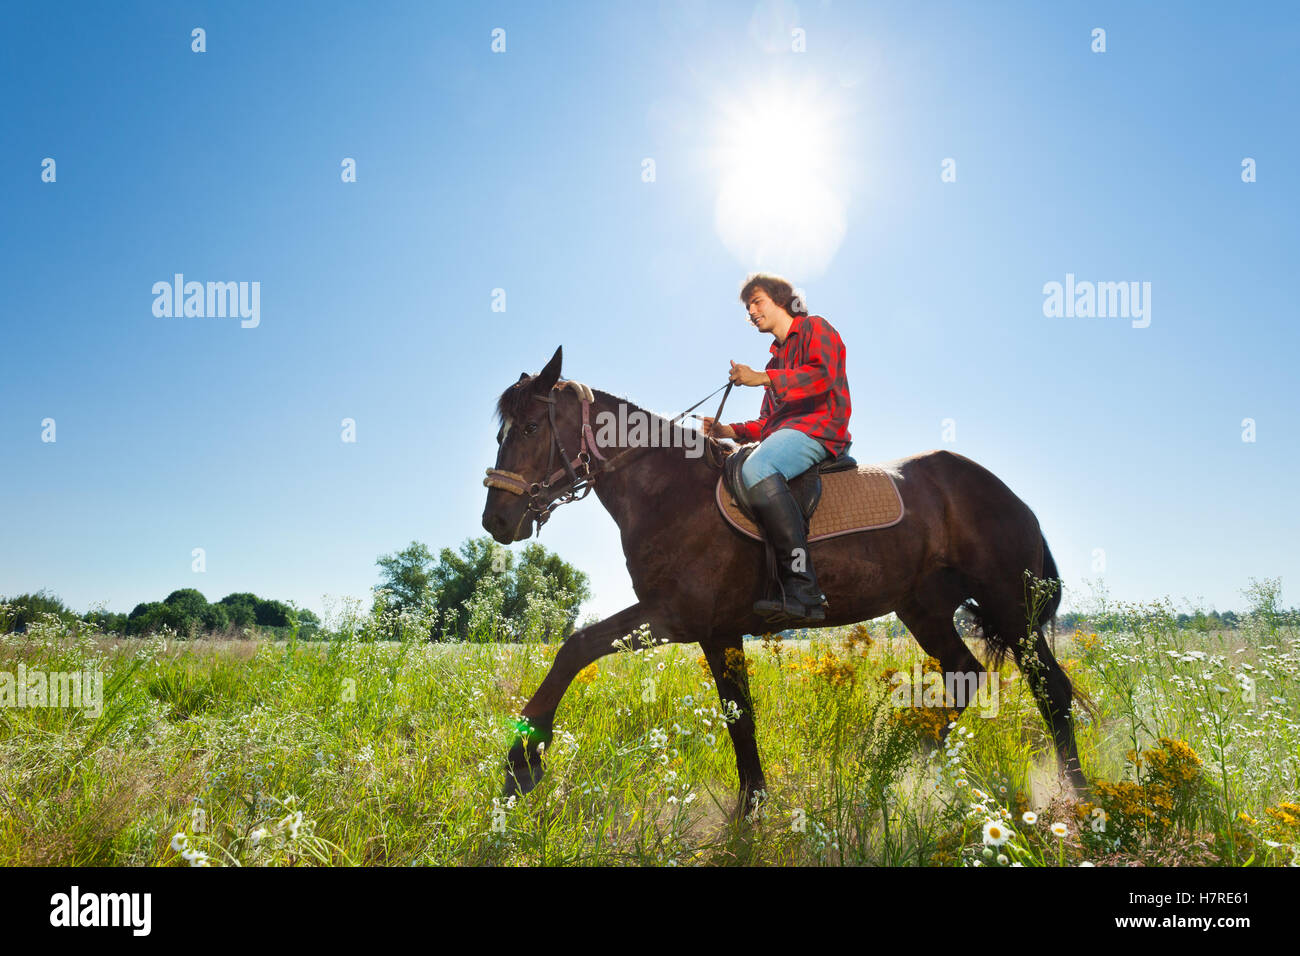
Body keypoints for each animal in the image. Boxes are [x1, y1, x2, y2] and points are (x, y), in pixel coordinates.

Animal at [482, 346, 1089, 820]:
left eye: (531, 428)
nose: (496, 521)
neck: (670, 491)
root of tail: (1006, 492)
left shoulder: (674, 615)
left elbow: (575, 647)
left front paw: (522, 763)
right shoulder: (715, 631)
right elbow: (740, 719)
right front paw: (751, 806)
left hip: (1009, 607)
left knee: (1052, 690)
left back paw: (1076, 795)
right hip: (925, 608)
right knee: (964, 676)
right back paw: (899, 765)